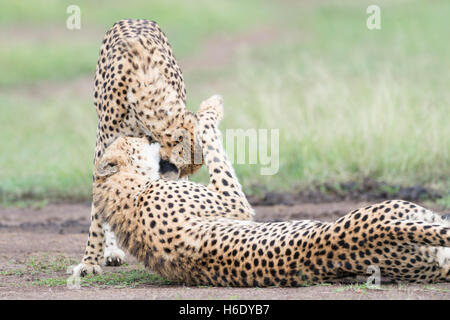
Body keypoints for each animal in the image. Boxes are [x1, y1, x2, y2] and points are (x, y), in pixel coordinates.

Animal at [85, 96, 450, 286]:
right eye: (133, 139)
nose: (148, 136)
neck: (127, 192)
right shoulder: (232, 201)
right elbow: (214, 145)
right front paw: (210, 108)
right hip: (407, 215)